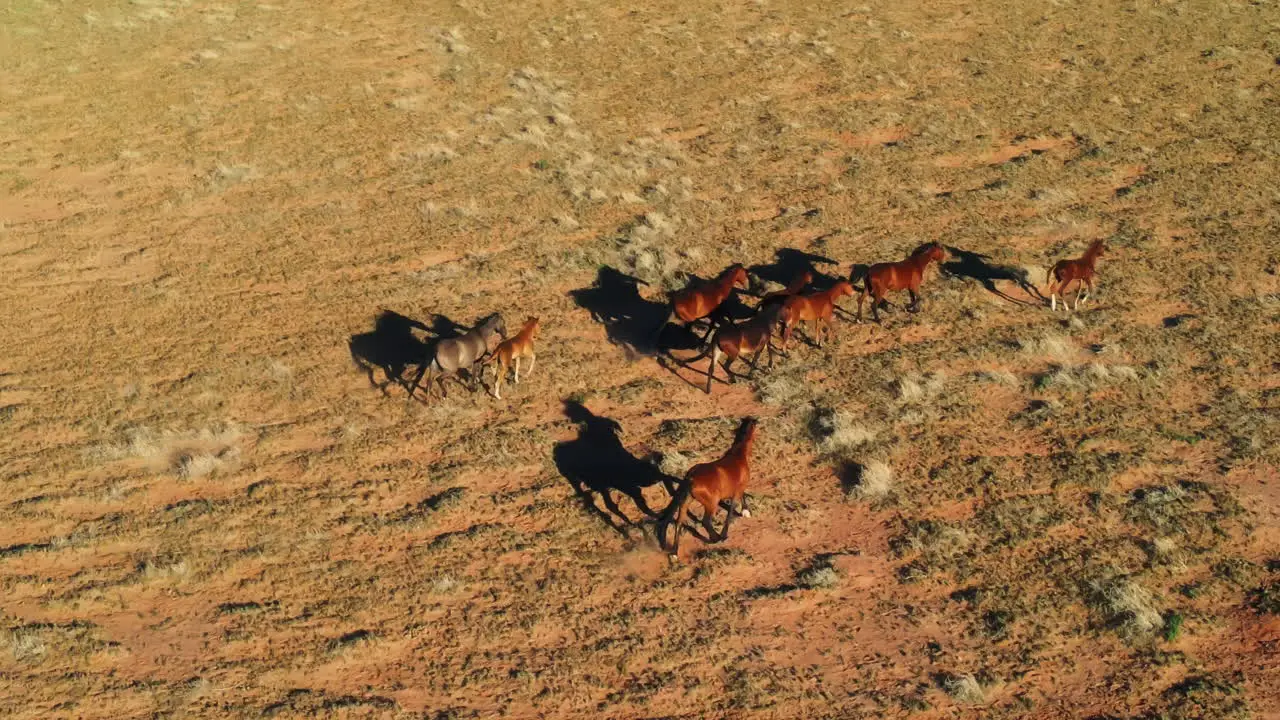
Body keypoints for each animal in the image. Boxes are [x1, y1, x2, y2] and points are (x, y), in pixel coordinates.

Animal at [660, 415, 757, 561]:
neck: (738, 456)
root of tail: (691, 477)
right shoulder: (736, 491)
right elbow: (731, 511)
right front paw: (725, 532)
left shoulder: (737, 489)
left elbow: (742, 497)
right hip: (711, 503)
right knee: (706, 521)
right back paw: (716, 538)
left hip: (685, 502)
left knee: (678, 523)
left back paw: (674, 553)